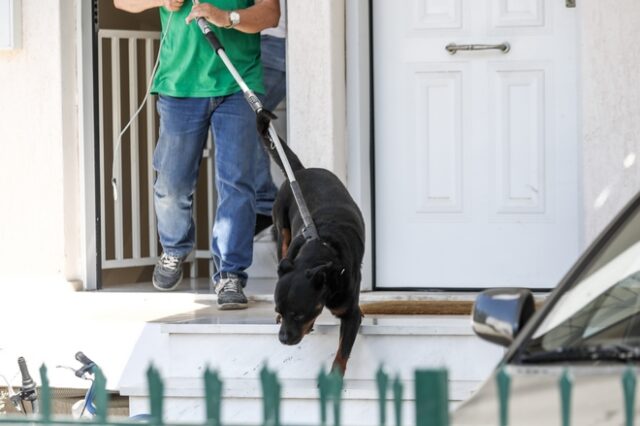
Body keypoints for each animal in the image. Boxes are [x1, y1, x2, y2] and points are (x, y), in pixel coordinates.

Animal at [256, 111, 364, 374]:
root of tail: (301, 172)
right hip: (281, 226)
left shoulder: (351, 312)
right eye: (279, 310)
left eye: (298, 314)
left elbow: (342, 353)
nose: (282, 339)